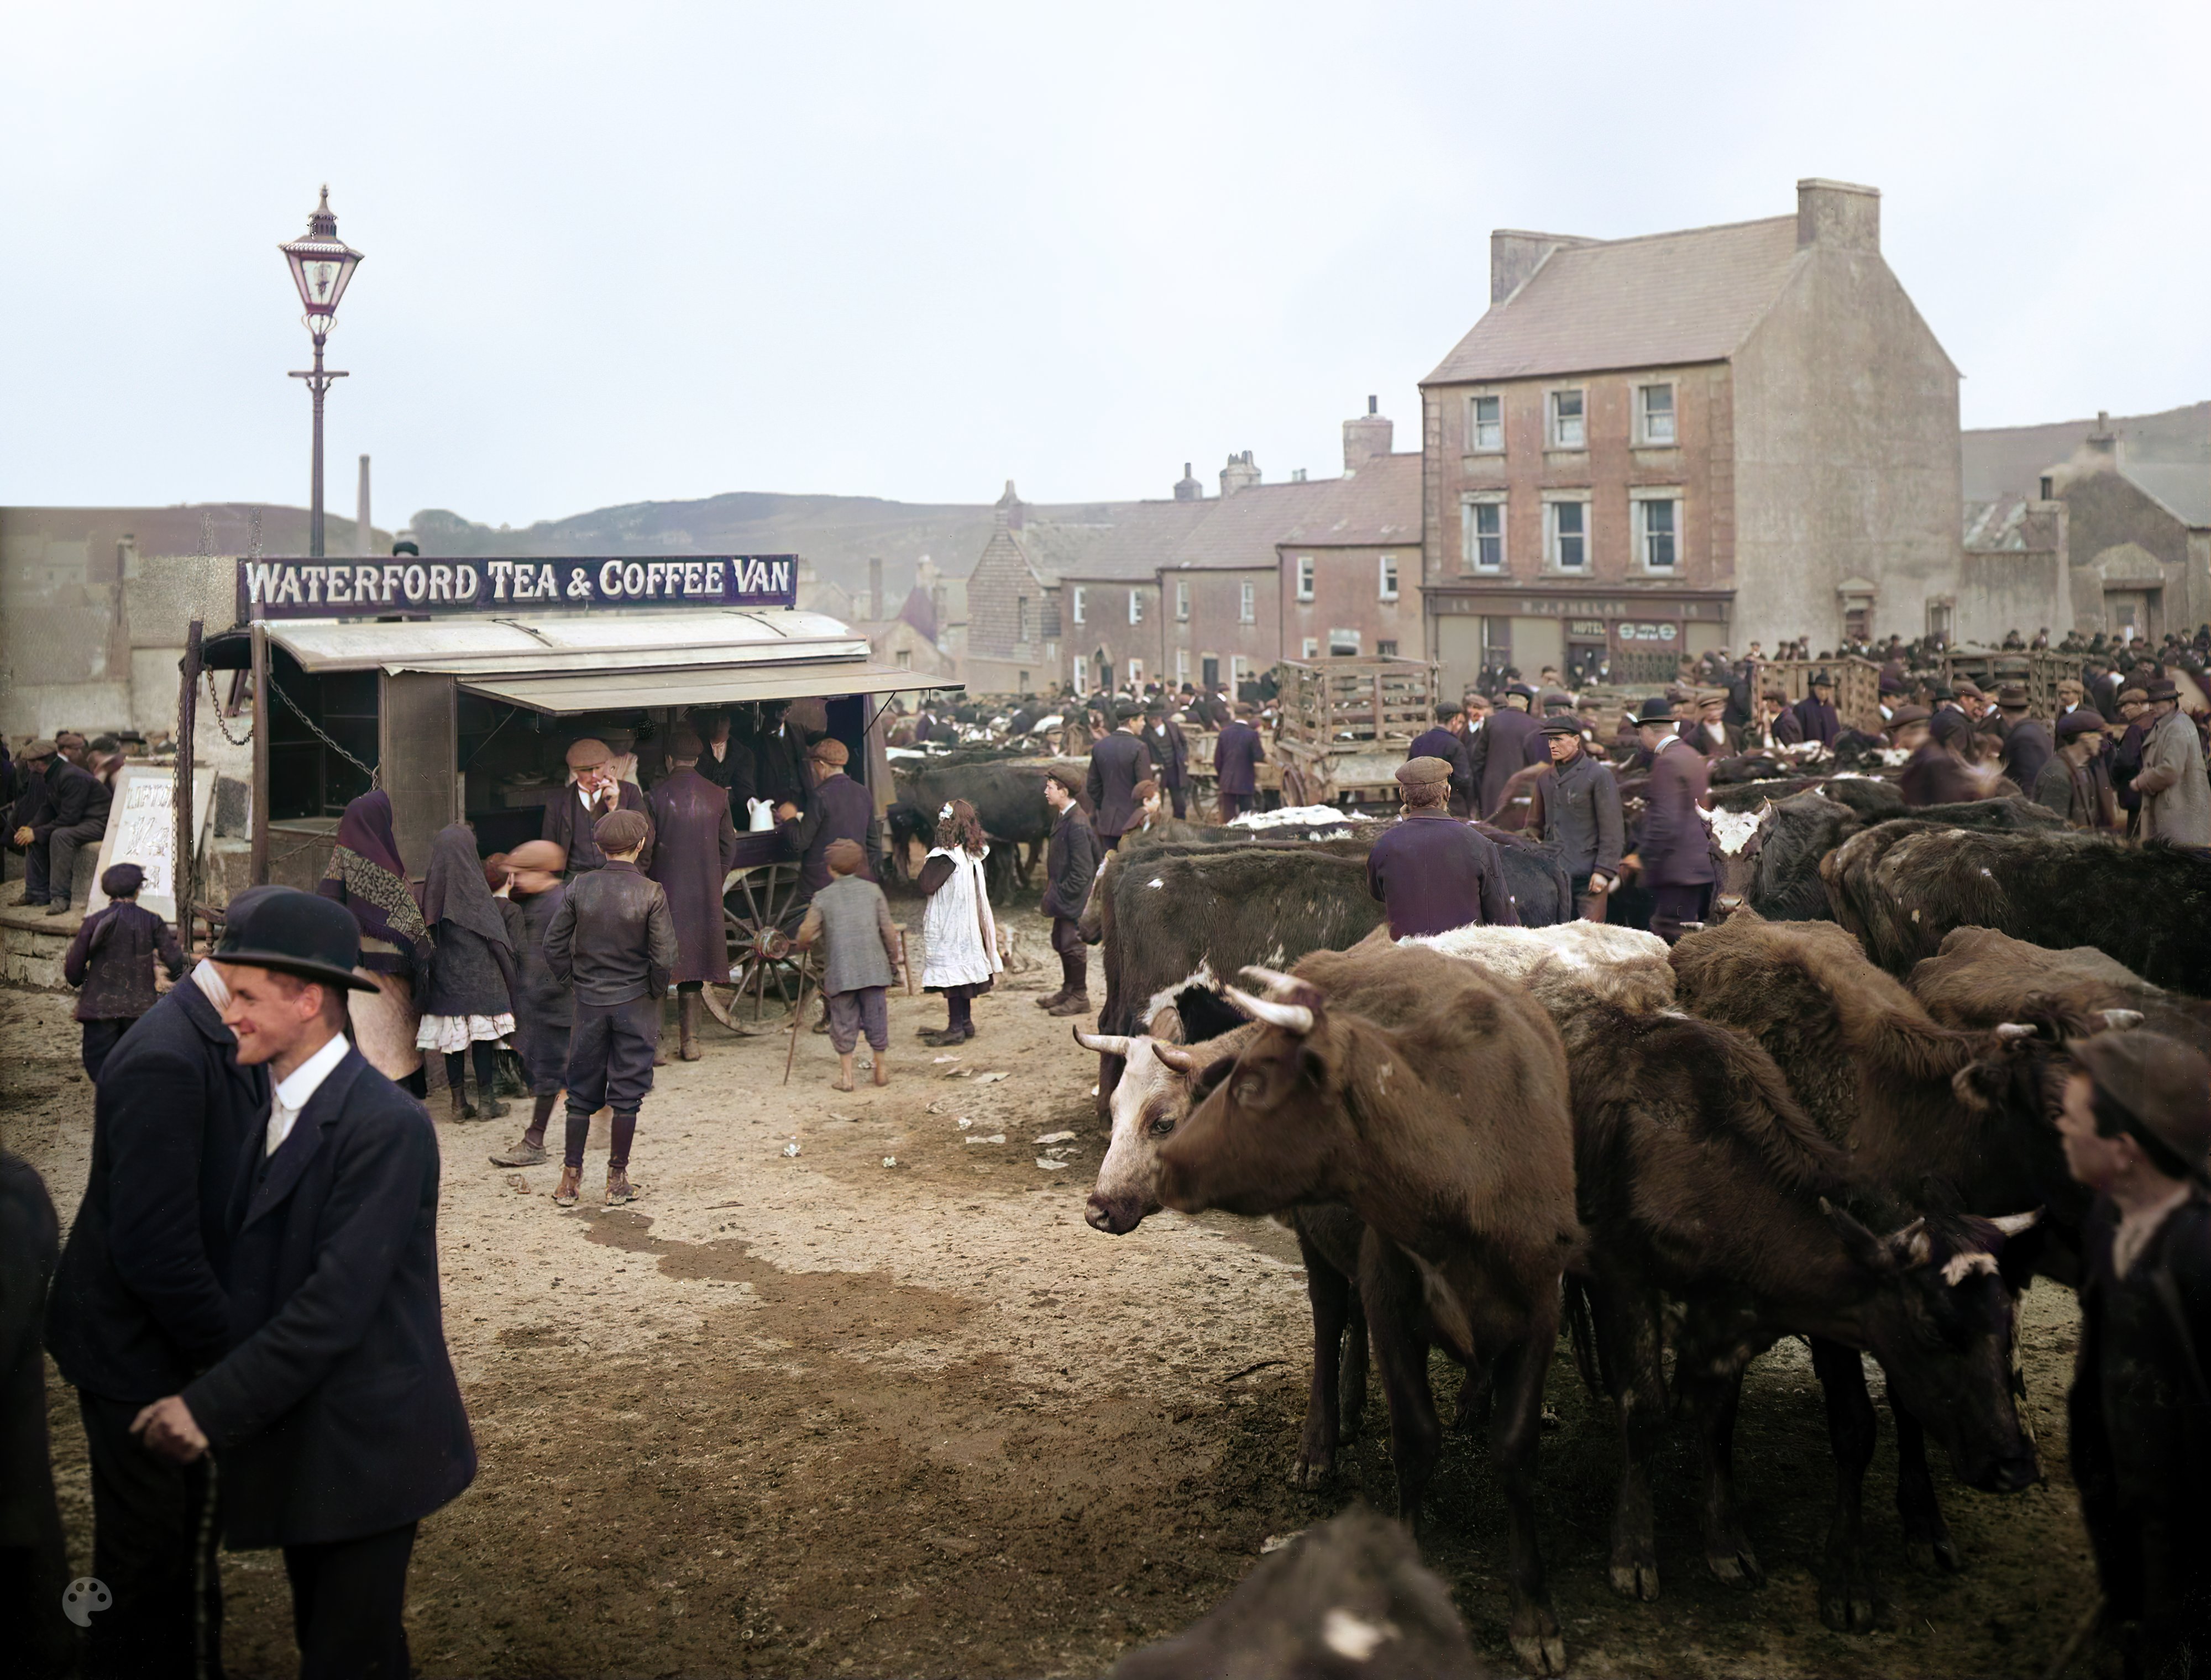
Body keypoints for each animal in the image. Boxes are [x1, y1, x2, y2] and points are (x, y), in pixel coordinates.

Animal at [1150, 946, 1583, 1671]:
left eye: (1252, 1085)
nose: (1165, 1162)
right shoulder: (1390, 1299)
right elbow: (1415, 1437)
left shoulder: (1540, 1310)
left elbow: (1514, 1449)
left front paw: (1536, 1614)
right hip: (1313, 1237)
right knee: (1330, 1318)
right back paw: (1321, 1440)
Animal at [1574, 1004, 2034, 1618]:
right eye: (1935, 1329)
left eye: (2007, 1321)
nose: (2014, 1464)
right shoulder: (1620, 1277)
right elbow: (1644, 1409)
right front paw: (1633, 1551)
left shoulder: (1729, 1320)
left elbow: (1719, 1417)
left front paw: (1725, 1541)